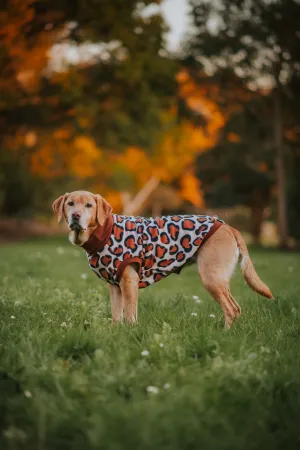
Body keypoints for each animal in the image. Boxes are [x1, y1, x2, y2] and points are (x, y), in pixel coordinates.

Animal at [52, 190, 274, 326]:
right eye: (70, 204)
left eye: (89, 205)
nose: (76, 216)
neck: (103, 231)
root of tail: (228, 226)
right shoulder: (114, 286)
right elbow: (116, 315)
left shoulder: (129, 282)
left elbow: (130, 314)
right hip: (220, 280)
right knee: (236, 308)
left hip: (211, 277)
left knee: (231, 309)